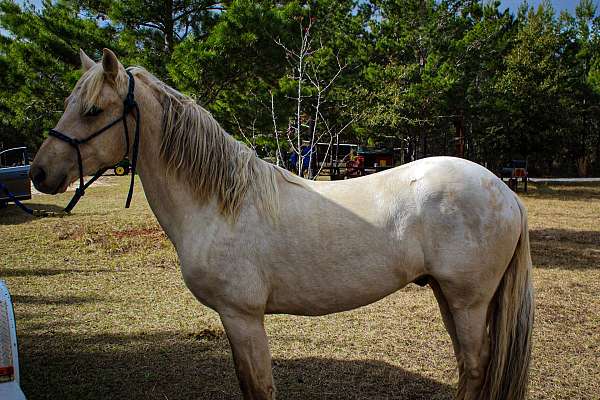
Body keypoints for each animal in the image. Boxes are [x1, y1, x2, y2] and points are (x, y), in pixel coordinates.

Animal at [30, 50, 532, 400]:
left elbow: (259, 387)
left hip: (469, 300)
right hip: (450, 296)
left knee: (474, 365)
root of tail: (505, 191)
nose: (40, 173)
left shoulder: (242, 316)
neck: (220, 203)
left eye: (93, 110)